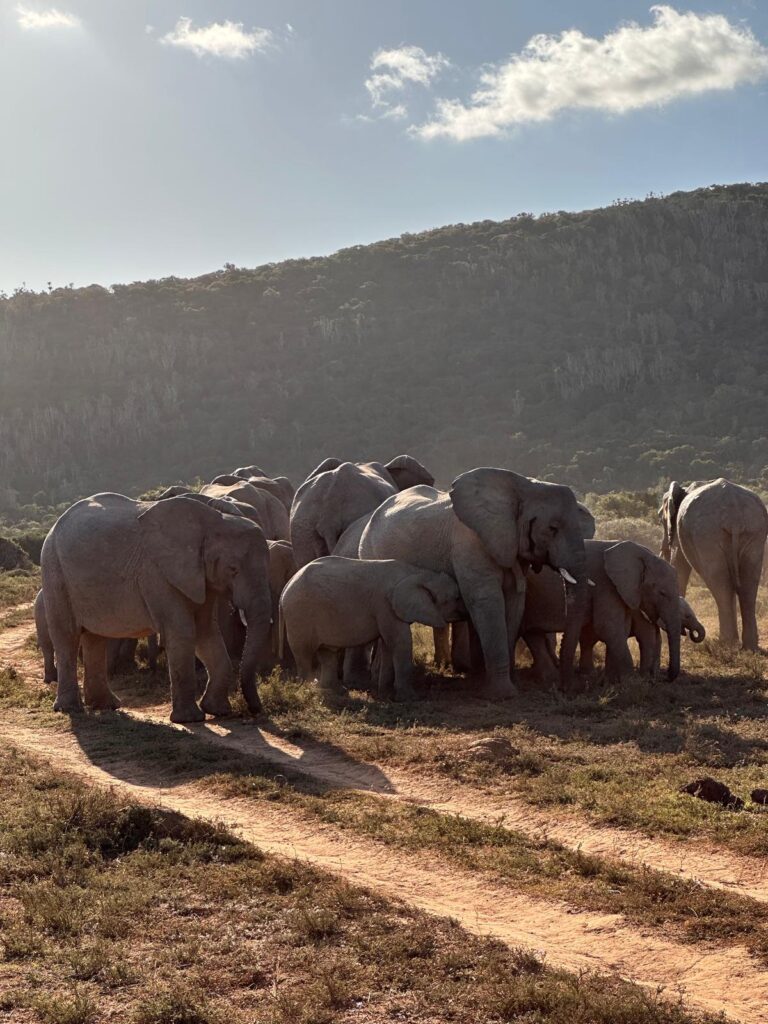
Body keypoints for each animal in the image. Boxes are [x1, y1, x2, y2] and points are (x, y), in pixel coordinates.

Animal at [39, 493, 274, 720]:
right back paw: (70, 709)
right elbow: (183, 632)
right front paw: (190, 719)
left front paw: (218, 711)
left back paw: (107, 706)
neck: (213, 520)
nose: (256, 711)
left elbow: (205, 632)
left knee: (95, 638)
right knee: (67, 636)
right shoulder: (157, 574)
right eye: (233, 569)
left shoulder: (201, 579)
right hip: (54, 569)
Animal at [280, 557, 462, 700]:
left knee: (327, 653)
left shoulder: (388, 610)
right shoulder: (386, 606)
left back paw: (338, 691)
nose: (465, 612)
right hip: (300, 615)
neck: (418, 573)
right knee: (304, 654)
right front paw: (411, 698)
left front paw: (385, 694)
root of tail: (285, 588)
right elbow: (400, 642)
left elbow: (388, 645)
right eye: (456, 598)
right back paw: (306, 691)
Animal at [360, 468, 589, 696]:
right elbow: (487, 600)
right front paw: (503, 694)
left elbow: (514, 602)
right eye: (552, 528)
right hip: (369, 552)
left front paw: (502, 684)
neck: (522, 487)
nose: (566, 688)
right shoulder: (470, 543)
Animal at [659, 477, 765, 647]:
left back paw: (726, 643)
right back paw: (748, 647)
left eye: (660, 519)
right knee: (747, 585)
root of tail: (733, 514)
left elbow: (679, 567)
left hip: (707, 534)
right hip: (755, 531)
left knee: (720, 583)